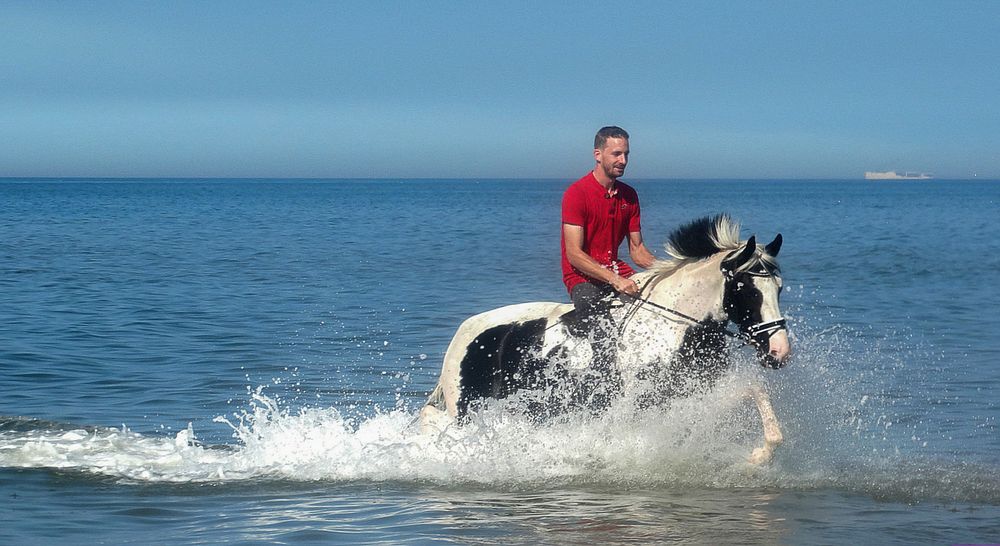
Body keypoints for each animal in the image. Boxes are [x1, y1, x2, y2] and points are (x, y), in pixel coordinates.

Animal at [418, 215, 792, 462]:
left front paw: (759, 455)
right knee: (432, 419)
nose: (779, 351)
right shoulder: (644, 401)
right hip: (466, 405)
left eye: (778, 287)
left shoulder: (698, 389)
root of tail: (464, 332)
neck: (672, 326)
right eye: (747, 290)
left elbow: (754, 392)